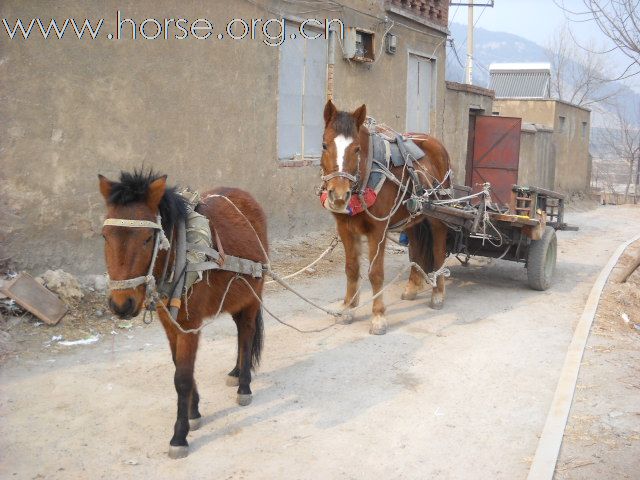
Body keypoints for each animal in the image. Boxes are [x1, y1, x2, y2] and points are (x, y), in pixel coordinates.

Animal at [98, 171, 268, 460]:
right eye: (105, 236)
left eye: (147, 238)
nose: (121, 305)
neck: (181, 253)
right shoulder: (170, 322)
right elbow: (179, 365)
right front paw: (194, 412)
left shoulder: (190, 324)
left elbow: (182, 377)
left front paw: (180, 435)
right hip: (236, 295)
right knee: (239, 331)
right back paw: (235, 371)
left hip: (253, 294)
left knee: (246, 334)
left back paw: (244, 385)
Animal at [320, 100, 450, 334]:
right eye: (324, 145)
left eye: (357, 149)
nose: (339, 195)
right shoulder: (344, 228)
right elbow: (351, 269)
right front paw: (348, 309)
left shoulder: (377, 230)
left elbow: (375, 273)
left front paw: (378, 316)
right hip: (412, 218)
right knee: (416, 248)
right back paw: (412, 287)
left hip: (437, 217)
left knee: (438, 250)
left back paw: (438, 294)